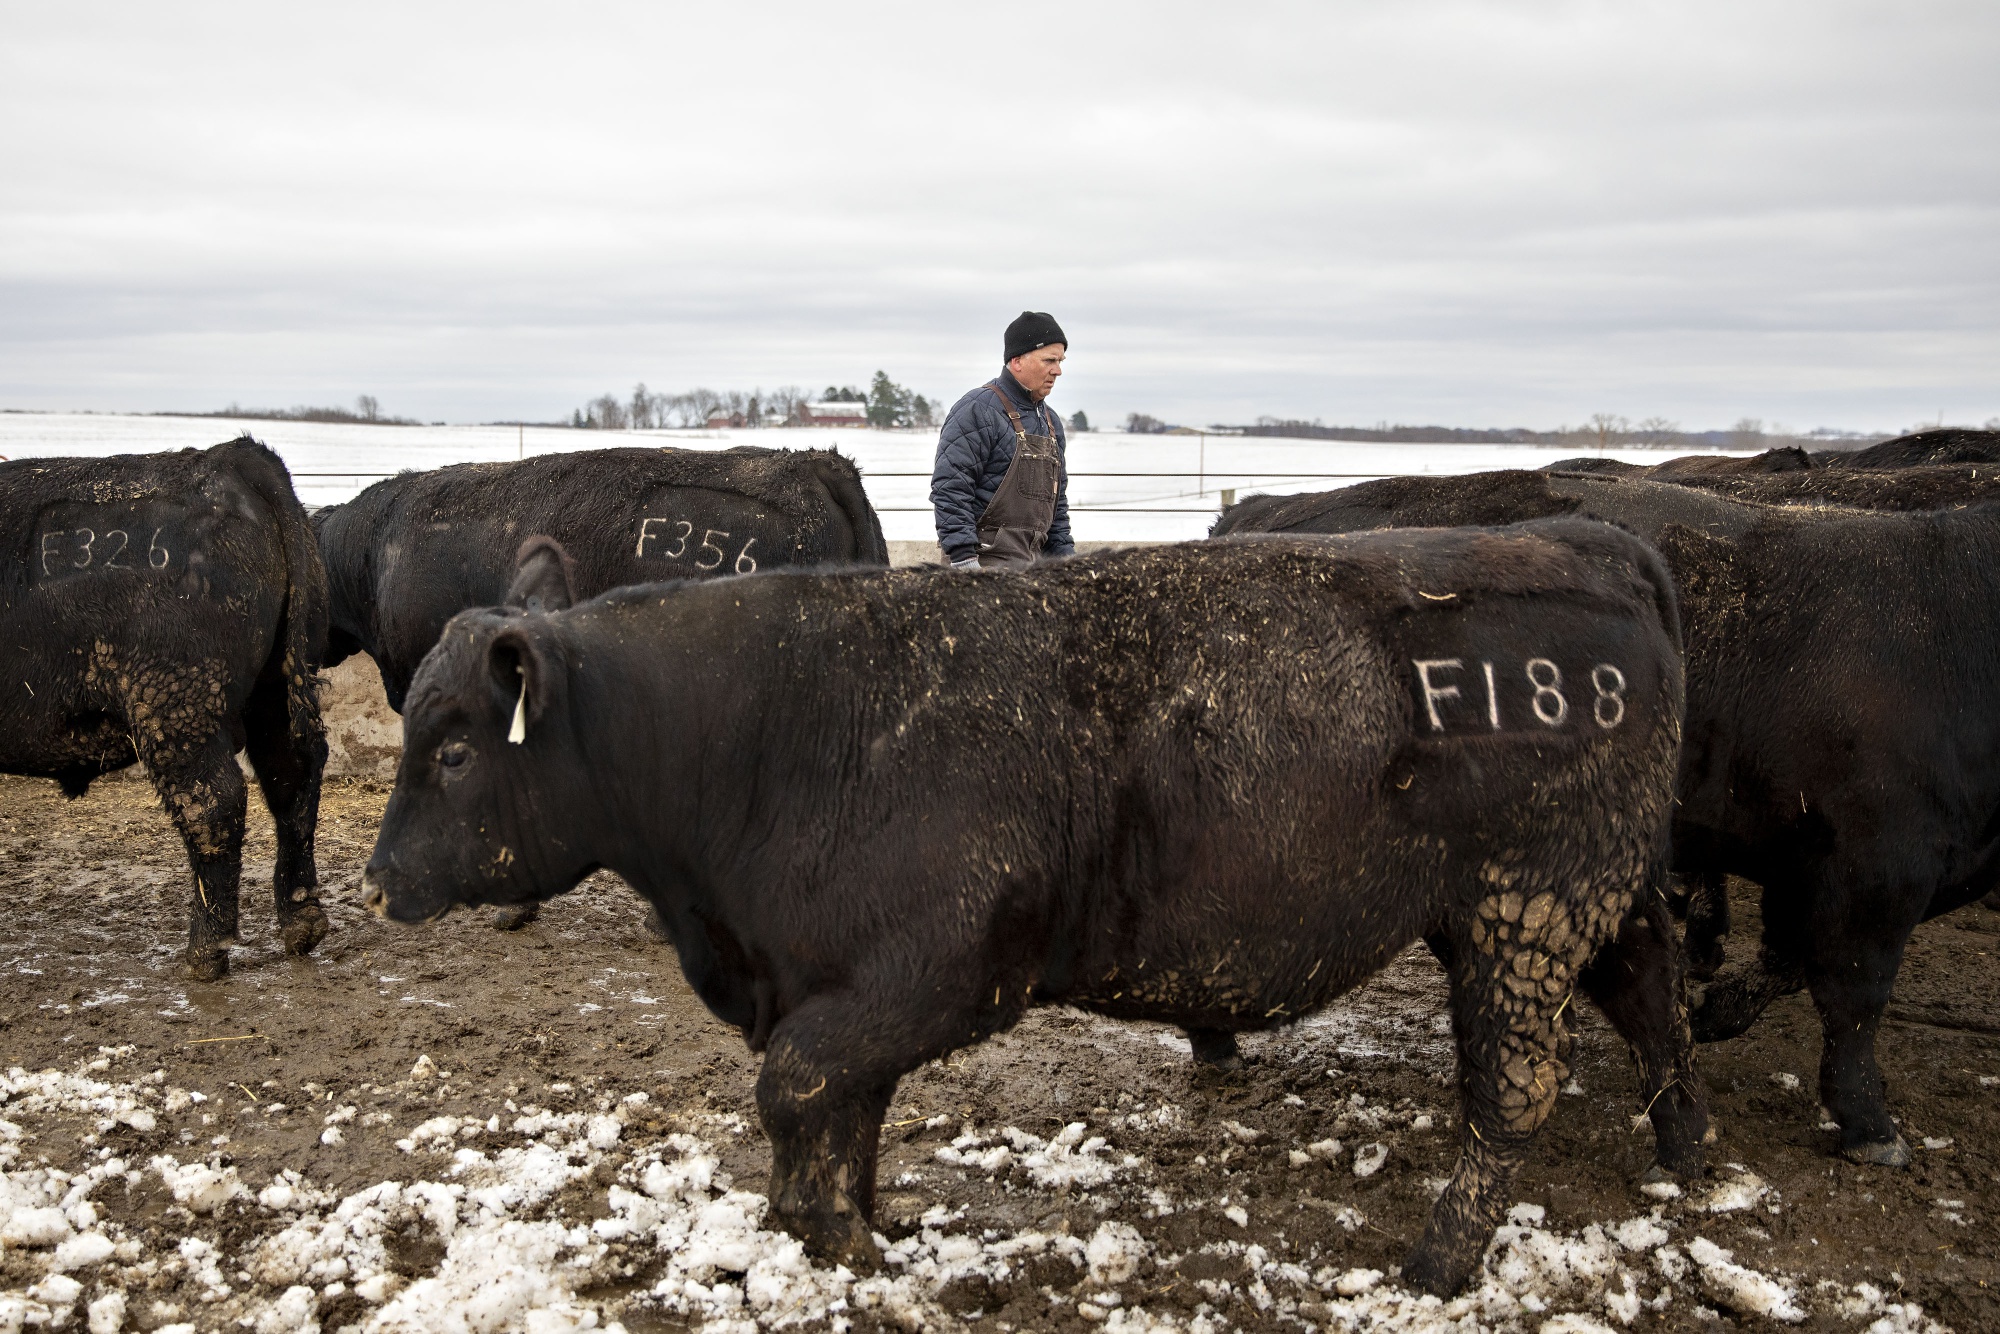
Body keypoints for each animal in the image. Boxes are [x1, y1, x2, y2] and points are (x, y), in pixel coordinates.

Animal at [1, 436, 329, 979]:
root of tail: (231, 457)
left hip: (175, 711)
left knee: (213, 802)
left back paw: (205, 952)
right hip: (276, 692)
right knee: (291, 777)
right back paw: (301, 921)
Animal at [356, 526, 1705, 1296]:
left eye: (458, 751)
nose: (377, 878)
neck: (774, 724)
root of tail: (1604, 556)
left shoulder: (938, 965)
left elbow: (794, 1086)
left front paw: (825, 1230)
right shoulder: (834, 977)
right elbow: (839, 1106)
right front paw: (842, 1220)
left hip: (1524, 907)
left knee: (1511, 1091)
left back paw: (1438, 1258)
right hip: (1581, 898)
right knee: (1656, 992)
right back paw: (1683, 1152)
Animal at [1217, 470, 2000, 1165]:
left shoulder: (1812, 858)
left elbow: (1790, 960)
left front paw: (1717, 1012)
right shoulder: (1876, 864)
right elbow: (1852, 994)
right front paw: (1868, 1122)